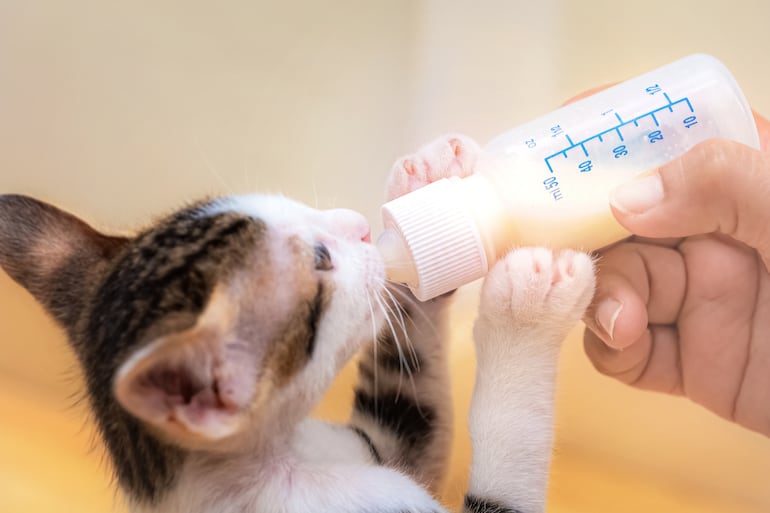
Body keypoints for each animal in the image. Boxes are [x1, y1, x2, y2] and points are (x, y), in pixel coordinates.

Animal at [0, 135, 592, 512]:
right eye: (319, 261)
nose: (358, 225)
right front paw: (526, 307)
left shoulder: (380, 445)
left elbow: (413, 407)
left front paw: (426, 190)